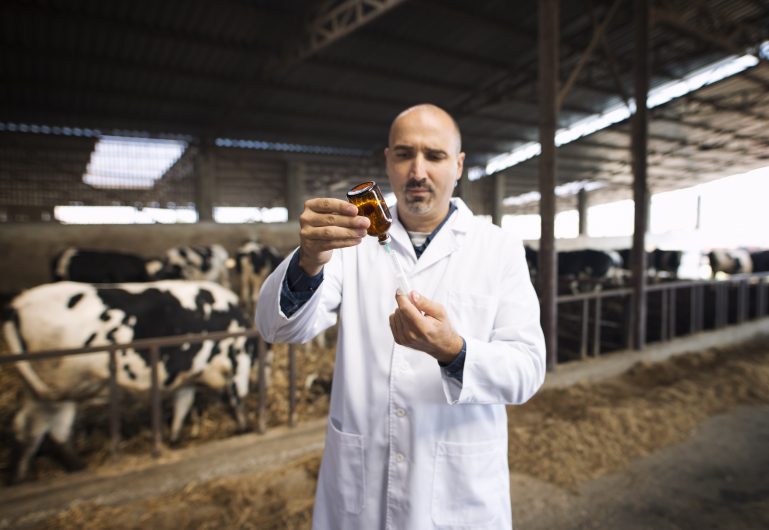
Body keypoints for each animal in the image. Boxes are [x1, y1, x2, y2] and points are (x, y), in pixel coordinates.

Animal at [4, 280, 255, 482]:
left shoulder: (189, 373)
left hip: (47, 388)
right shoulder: (236, 361)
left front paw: (174, 439)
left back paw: (26, 475)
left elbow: (182, 404)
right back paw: (72, 467)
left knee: (29, 426)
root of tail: (17, 305)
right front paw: (243, 429)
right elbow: (235, 397)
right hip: (60, 383)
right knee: (47, 427)